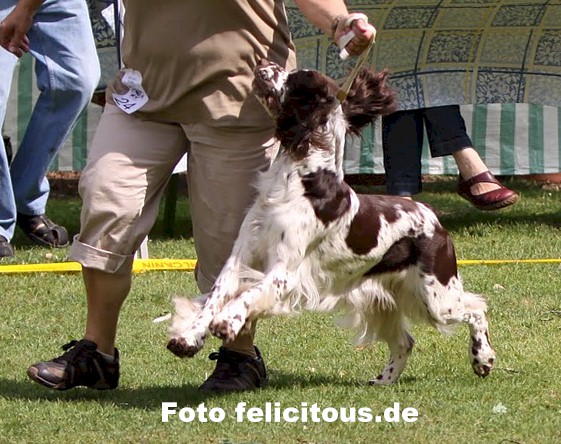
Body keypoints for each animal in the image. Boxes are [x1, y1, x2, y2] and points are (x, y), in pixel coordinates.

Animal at [167, 60, 494, 384]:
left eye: (296, 77)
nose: (264, 63)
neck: (301, 176)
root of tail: (432, 216)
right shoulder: (240, 257)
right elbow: (214, 297)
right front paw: (188, 338)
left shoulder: (285, 271)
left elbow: (250, 294)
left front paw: (227, 320)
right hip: (383, 297)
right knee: (406, 341)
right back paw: (384, 380)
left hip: (435, 296)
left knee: (477, 308)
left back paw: (483, 358)